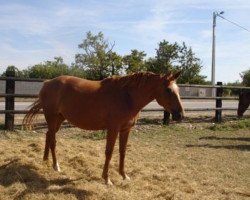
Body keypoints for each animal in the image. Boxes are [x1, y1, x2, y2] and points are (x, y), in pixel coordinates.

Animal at [23, 71, 184, 185]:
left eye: (178, 89)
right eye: (168, 90)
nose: (180, 115)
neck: (127, 97)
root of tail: (47, 83)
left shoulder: (126, 130)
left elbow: (123, 152)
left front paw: (124, 175)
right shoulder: (113, 129)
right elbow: (109, 152)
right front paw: (107, 179)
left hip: (59, 119)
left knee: (48, 136)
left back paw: (45, 160)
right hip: (52, 118)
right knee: (53, 140)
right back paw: (56, 166)